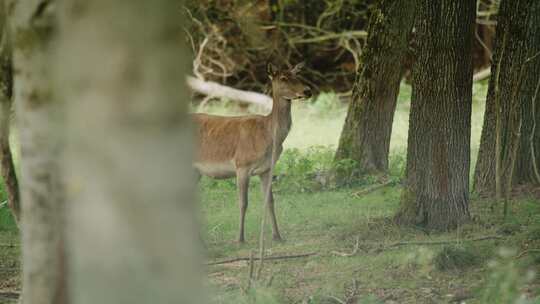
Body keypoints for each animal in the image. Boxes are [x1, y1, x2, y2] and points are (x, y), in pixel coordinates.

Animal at [194, 62, 312, 242]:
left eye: (297, 75)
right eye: (283, 78)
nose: (307, 91)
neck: (269, 136)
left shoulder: (267, 169)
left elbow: (270, 201)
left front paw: (277, 236)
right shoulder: (242, 165)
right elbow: (243, 203)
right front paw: (240, 239)